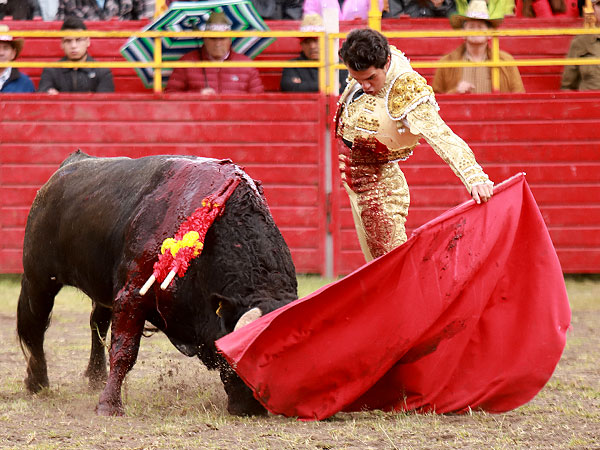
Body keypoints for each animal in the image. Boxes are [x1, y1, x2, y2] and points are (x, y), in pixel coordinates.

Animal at [17, 153, 298, 416]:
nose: (253, 408)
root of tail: (68, 166)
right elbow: (124, 351)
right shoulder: (131, 295)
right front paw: (109, 406)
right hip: (39, 279)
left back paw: (94, 377)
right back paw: (37, 382)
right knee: (35, 326)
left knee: (97, 323)